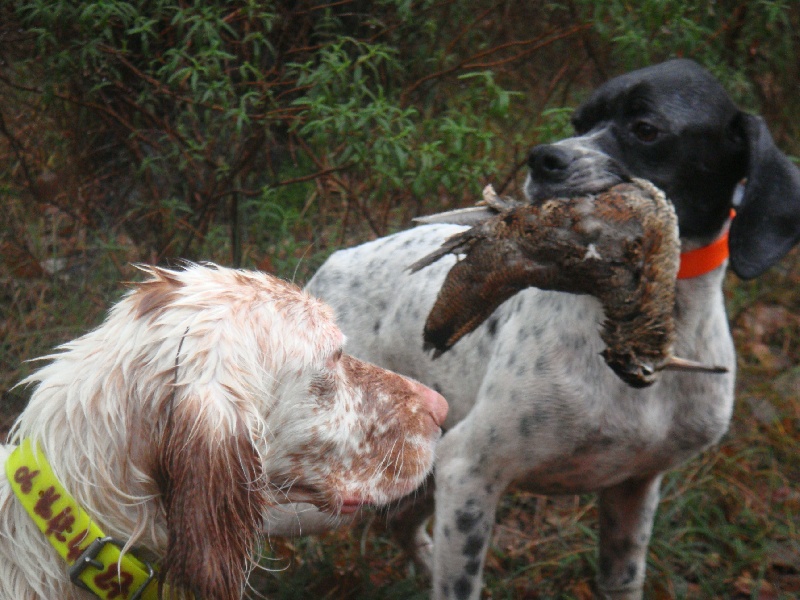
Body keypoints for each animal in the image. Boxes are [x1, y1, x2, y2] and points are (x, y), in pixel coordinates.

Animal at [304, 61, 800, 600]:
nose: (544, 158)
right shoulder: (470, 470)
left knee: (400, 523)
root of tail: (326, 271)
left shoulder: (634, 489)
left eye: (646, 128)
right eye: (578, 120)